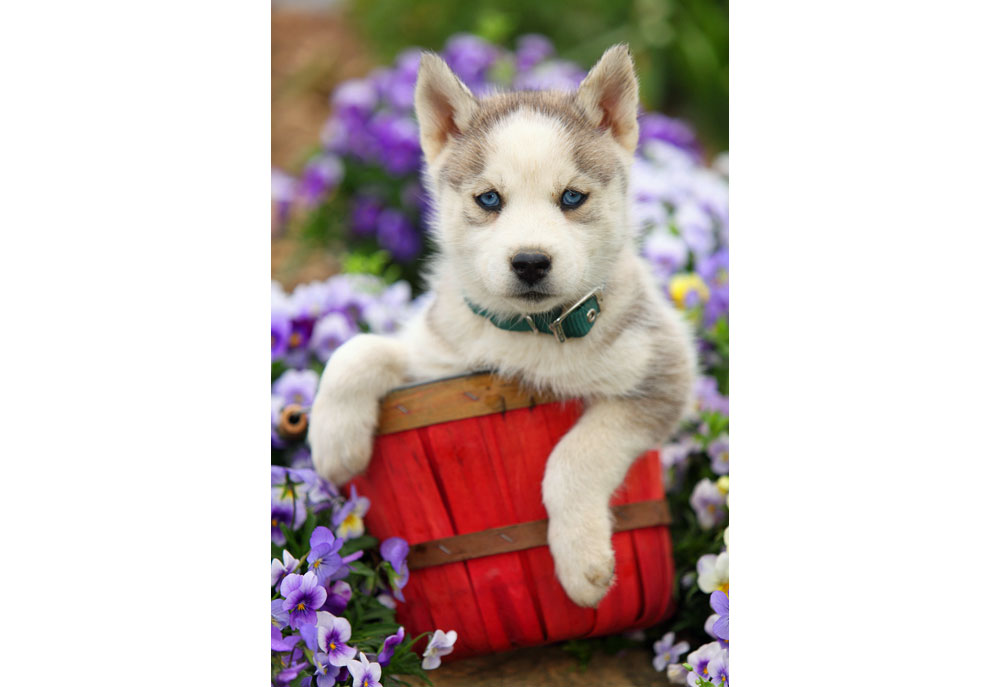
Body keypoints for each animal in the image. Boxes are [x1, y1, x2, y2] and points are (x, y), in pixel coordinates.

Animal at [310, 45, 696, 608]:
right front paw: (335, 444)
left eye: (572, 198)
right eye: (489, 199)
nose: (530, 262)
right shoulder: (441, 359)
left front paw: (581, 565)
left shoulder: (662, 375)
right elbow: (358, 349)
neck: (531, 332)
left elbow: (571, 458)